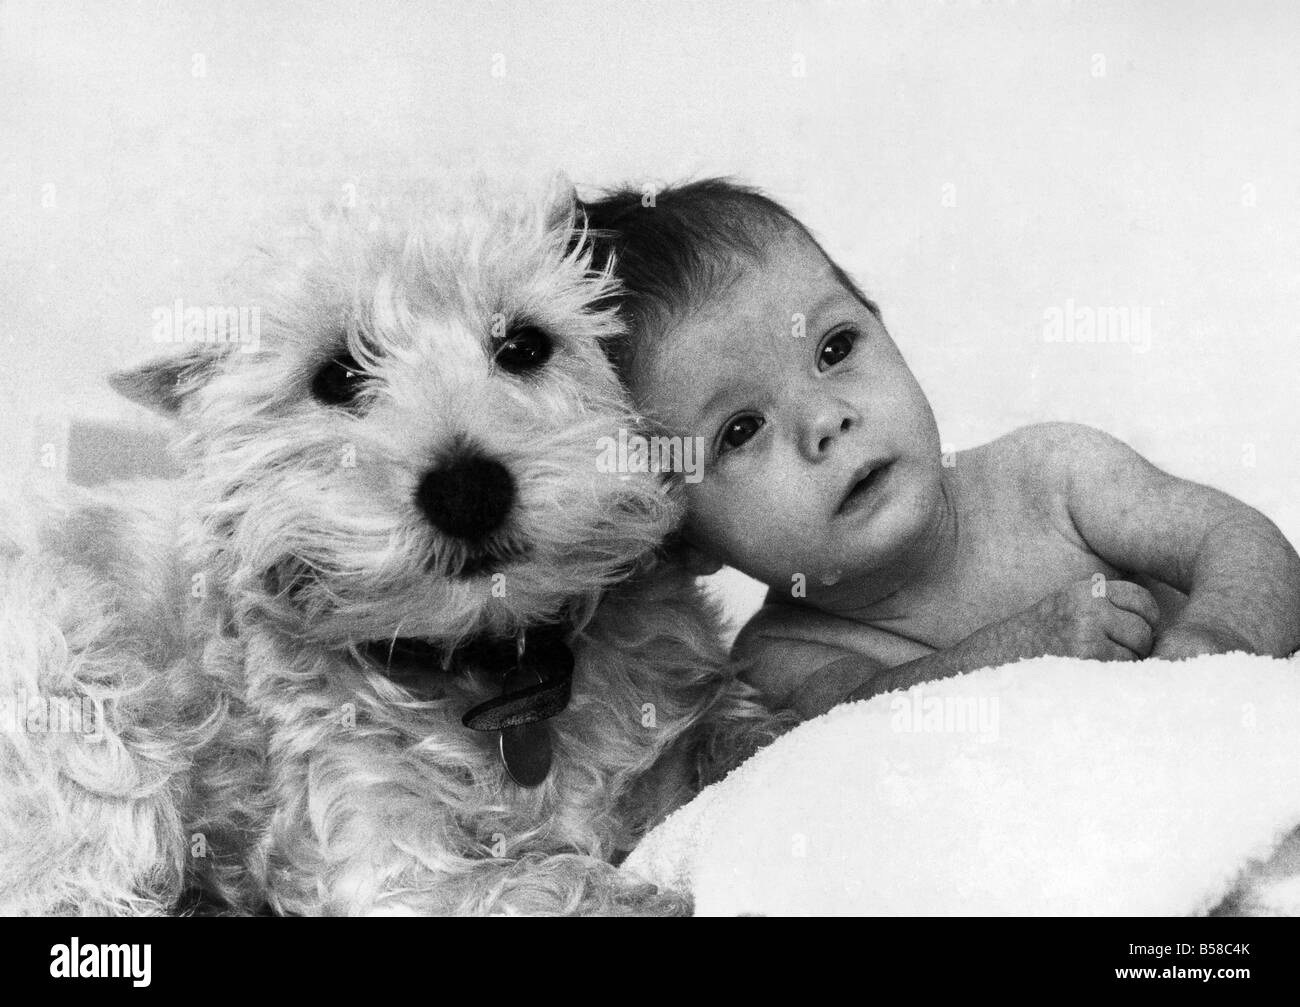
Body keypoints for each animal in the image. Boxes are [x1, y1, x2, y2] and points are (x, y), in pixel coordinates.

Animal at [0, 179, 780, 914]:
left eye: (525, 345)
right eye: (337, 377)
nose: (467, 492)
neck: (494, 666)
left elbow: (737, 739)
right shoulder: (383, 852)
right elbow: (543, 879)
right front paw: (641, 893)